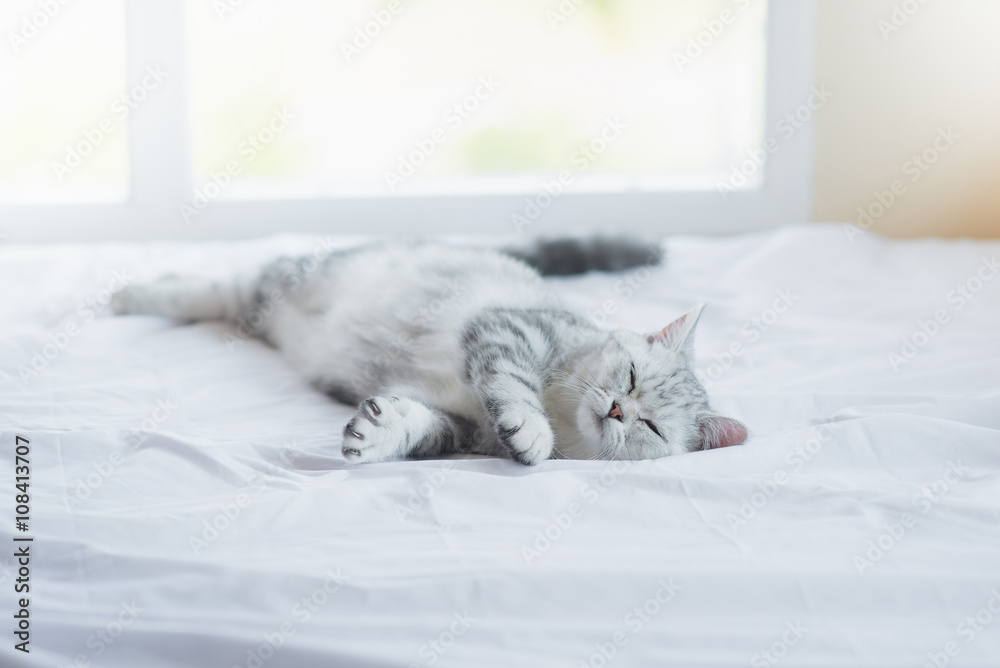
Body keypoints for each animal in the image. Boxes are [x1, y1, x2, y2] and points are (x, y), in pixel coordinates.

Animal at [113, 239, 748, 464]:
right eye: (631, 375)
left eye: (653, 427)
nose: (617, 409)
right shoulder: (508, 328)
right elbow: (511, 383)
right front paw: (531, 428)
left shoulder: (463, 426)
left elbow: (426, 428)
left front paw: (381, 432)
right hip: (281, 280)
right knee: (213, 285)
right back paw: (129, 293)